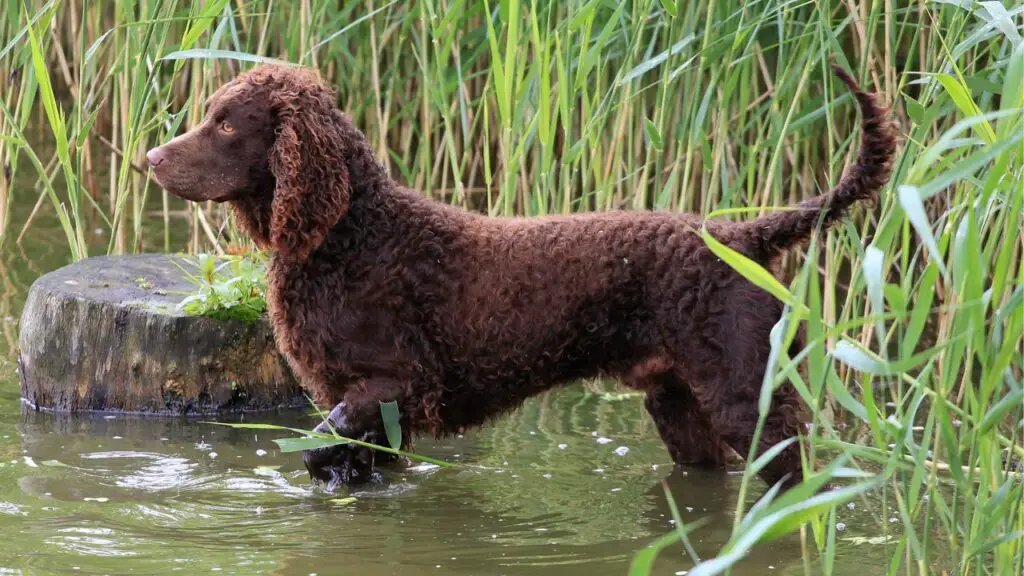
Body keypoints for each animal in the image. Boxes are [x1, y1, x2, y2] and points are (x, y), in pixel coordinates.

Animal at [149, 63, 897, 494]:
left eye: (226, 125)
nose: (151, 158)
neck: (350, 234)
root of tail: (743, 236)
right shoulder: (372, 405)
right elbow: (346, 458)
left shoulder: (397, 383)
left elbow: (321, 444)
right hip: (680, 406)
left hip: (749, 398)